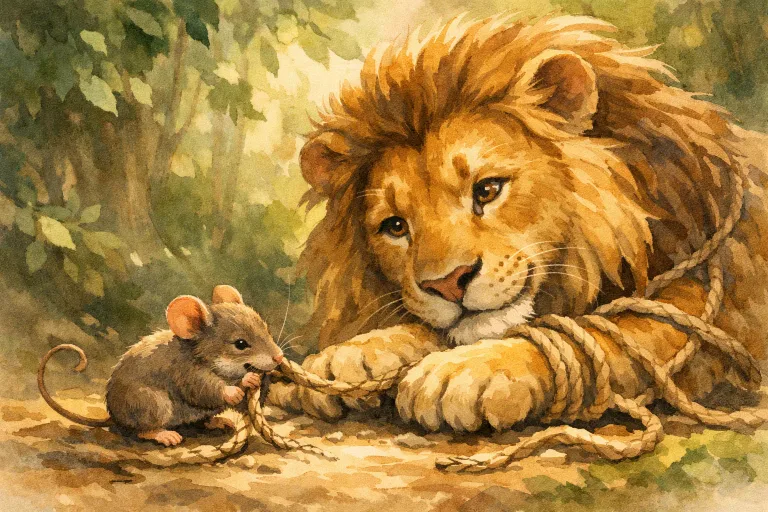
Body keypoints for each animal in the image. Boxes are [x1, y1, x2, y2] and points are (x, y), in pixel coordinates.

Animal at [271, 15, 768, 432]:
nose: (448, 283)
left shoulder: (725, 306)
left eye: (487, 190)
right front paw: (353, 354)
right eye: (395, 227)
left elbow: (620, 334)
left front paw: (469, 371)